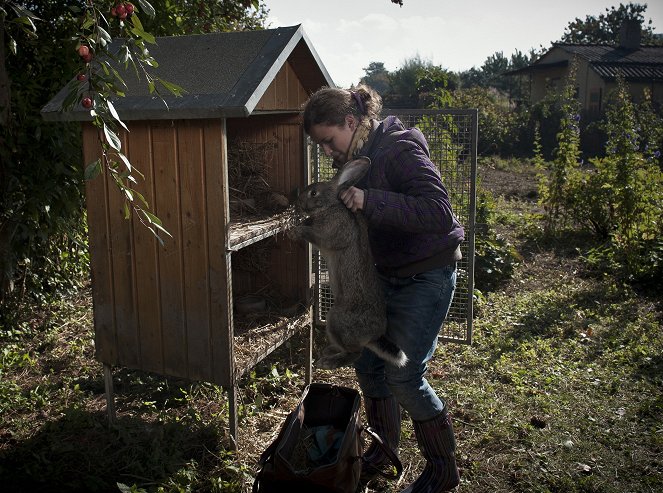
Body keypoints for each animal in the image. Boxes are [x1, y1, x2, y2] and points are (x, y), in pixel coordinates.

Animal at [294, 158, 408, 368]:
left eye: (314, 193)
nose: (298, 203)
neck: (330, 205)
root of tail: (372, 337)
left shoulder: (329, 234)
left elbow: (314, 235)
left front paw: (295, 231)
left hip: (336, 320)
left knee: (355, 353)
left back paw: (328, 362)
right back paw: (329, 351)